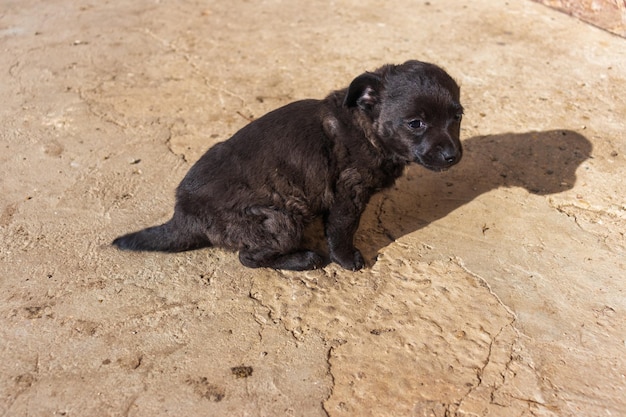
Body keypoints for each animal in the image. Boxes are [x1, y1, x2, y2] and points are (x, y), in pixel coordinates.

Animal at [113, 60, 464, 272]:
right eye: (415, 123)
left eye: (457, 116)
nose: (453, 156)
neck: (366, 126)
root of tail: (183, 214)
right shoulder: (347, 194)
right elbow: (342, 230)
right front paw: (346, 260)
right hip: (280, 220)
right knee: (248, 257)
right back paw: (305, 259)